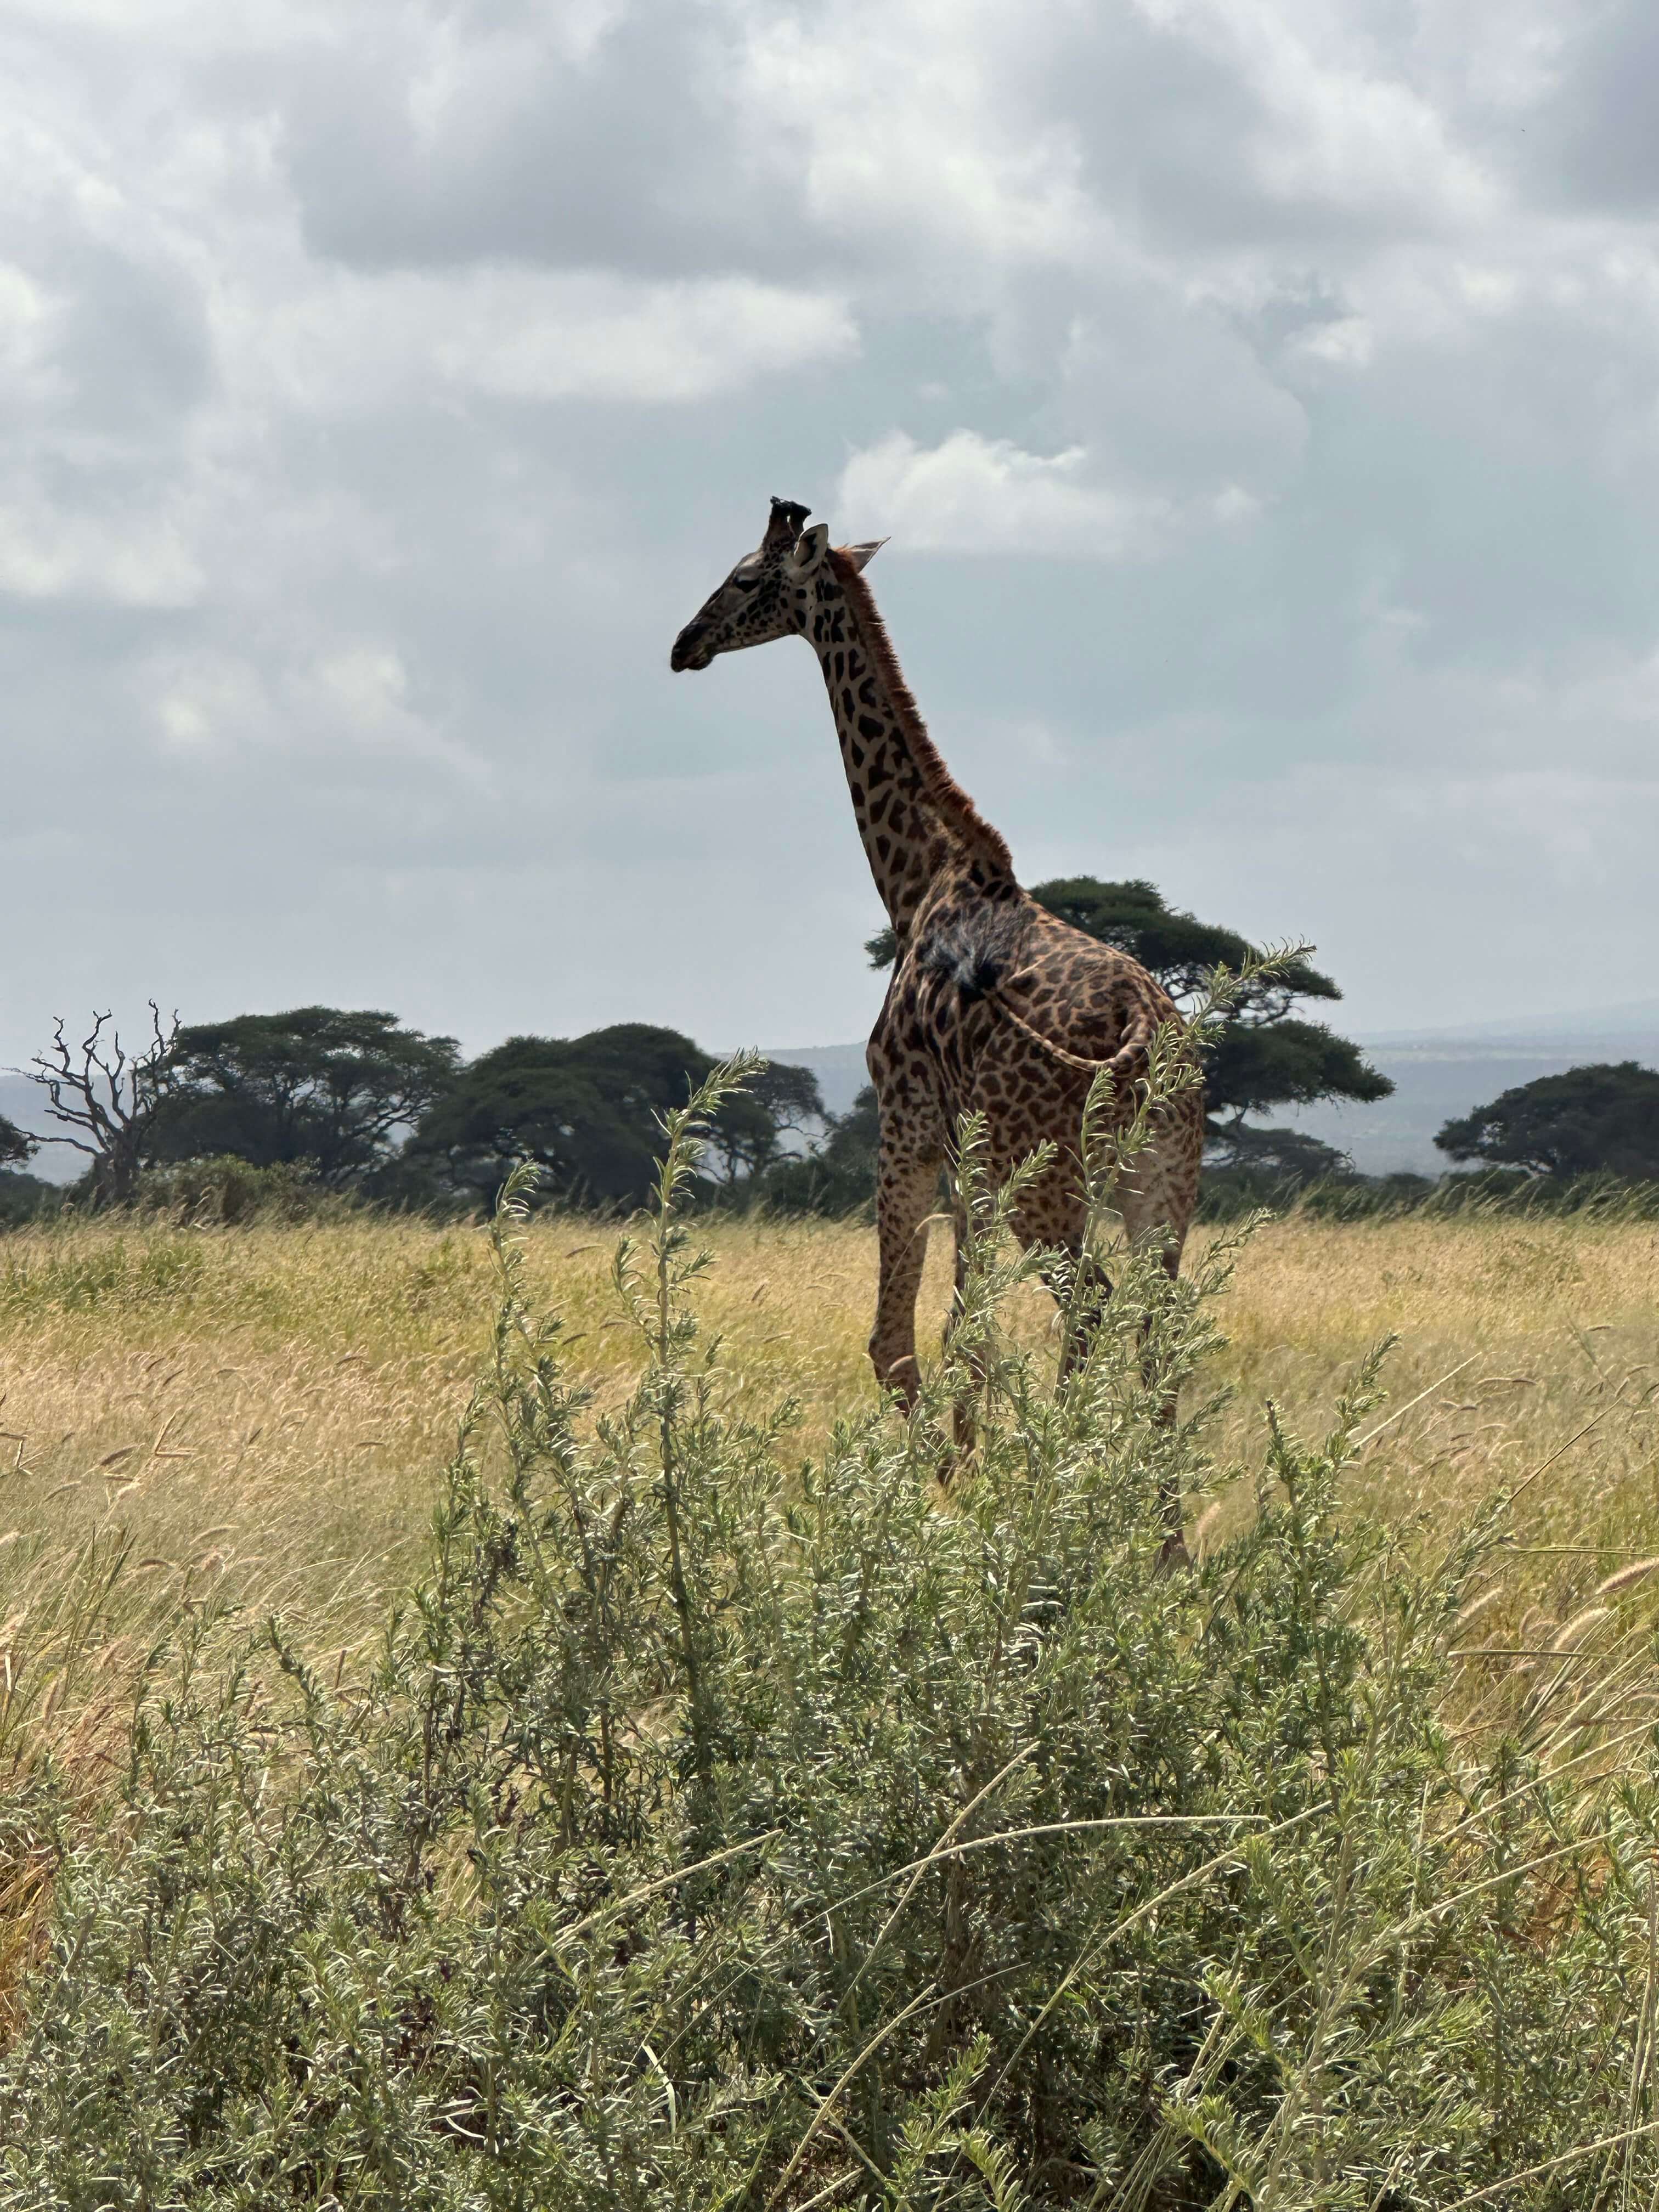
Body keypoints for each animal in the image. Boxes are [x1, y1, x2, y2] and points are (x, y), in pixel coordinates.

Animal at [671, 497, 1205, 1552]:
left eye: (746, 579)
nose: (683, 646)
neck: (918, 878)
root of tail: (1140, 1023)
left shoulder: (910, 1122)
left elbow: (896, 1338)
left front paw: (941, 1490)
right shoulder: (976, 1166)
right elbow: (970, 1328)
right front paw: (972, 1467)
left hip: (1055, 1181)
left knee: (1092, 1305)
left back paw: (1069, 1502)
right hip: (1159, 1186)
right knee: (1158, 1327)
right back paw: (1161, 1540)